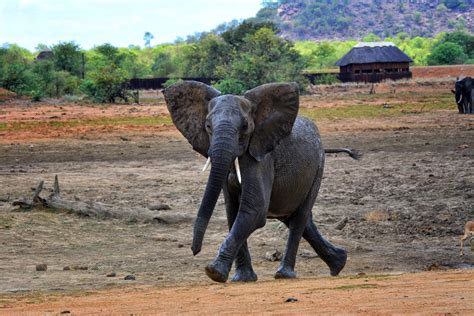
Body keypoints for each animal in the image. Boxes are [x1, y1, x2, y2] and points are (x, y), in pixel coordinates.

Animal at [164, 80, 348, 282]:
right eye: (208, 126)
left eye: (245, 126)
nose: (194, 250)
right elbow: (233, 212)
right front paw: (241, 278)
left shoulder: (261, 159)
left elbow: (255, 210)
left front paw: (214, 272)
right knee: (294, 217)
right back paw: (339, 263)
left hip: (318, 167)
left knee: (299, 217)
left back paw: (284, 274)